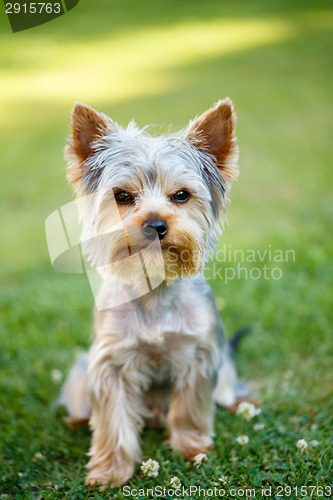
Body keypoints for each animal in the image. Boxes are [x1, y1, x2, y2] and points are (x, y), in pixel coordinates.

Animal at [58, 98, 243, 488]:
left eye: (182, 195)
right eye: (123, 196)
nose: (155, 224)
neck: (154, 289)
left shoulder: (200, 353)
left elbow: (189, 408)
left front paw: (192, 448)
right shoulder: (110, 364)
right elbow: (114, 421)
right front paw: (110, 470)